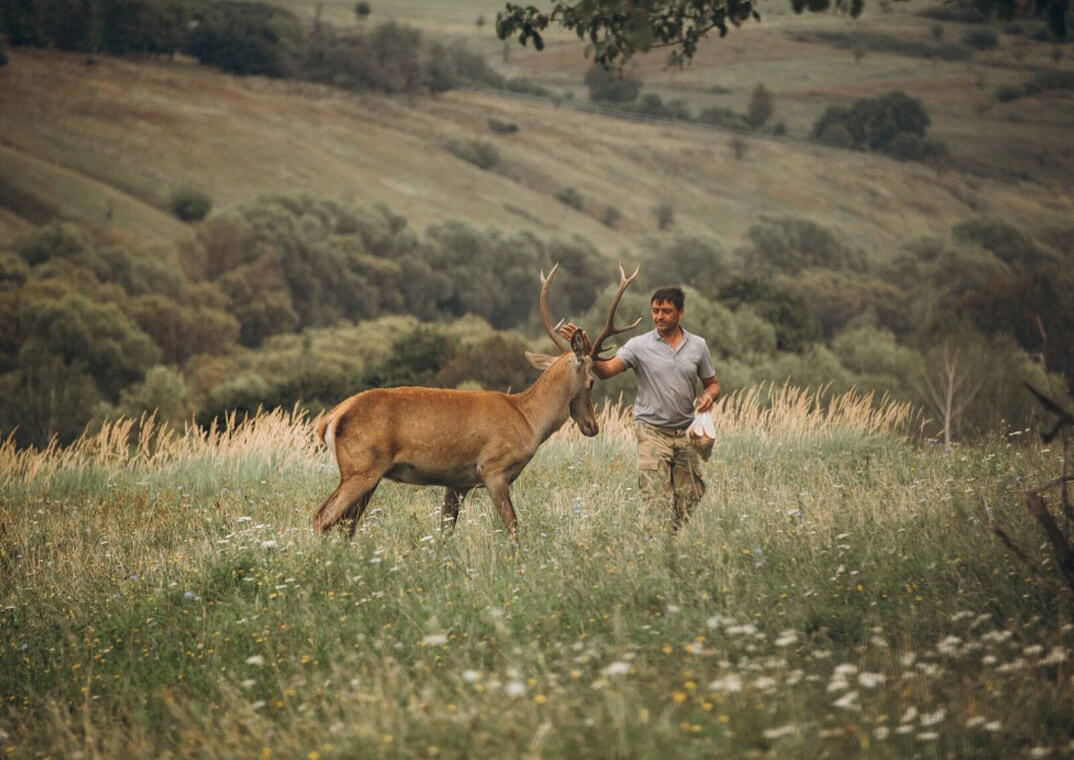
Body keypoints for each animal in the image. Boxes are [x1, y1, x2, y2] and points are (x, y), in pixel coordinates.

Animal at [311, 263, 641, 539]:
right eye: (591, 381)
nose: (592, 426)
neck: (528, 420)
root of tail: (331, 418)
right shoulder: (493, 469)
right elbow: (513, 527)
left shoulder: (457, 482)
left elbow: (445, 532)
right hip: (361, 467)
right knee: (321, 517)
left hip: (368, 473)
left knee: (346, 524)